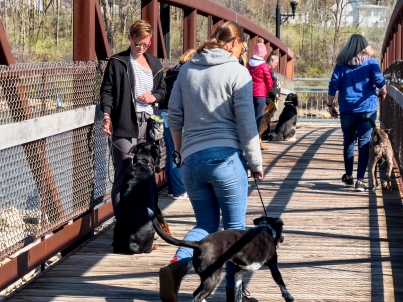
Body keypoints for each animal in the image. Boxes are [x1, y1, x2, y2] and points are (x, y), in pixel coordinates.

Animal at [153, 216, 292, 300]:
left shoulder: (238, 272)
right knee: (197, 297)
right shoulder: (273, 265)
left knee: (196, 294)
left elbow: (238, 292)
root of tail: (199, 243)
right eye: (282, 229)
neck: (266, 228)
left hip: (208, 277)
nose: (283, 238)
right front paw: (288, 296)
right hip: (213, 278)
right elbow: (280, 281)